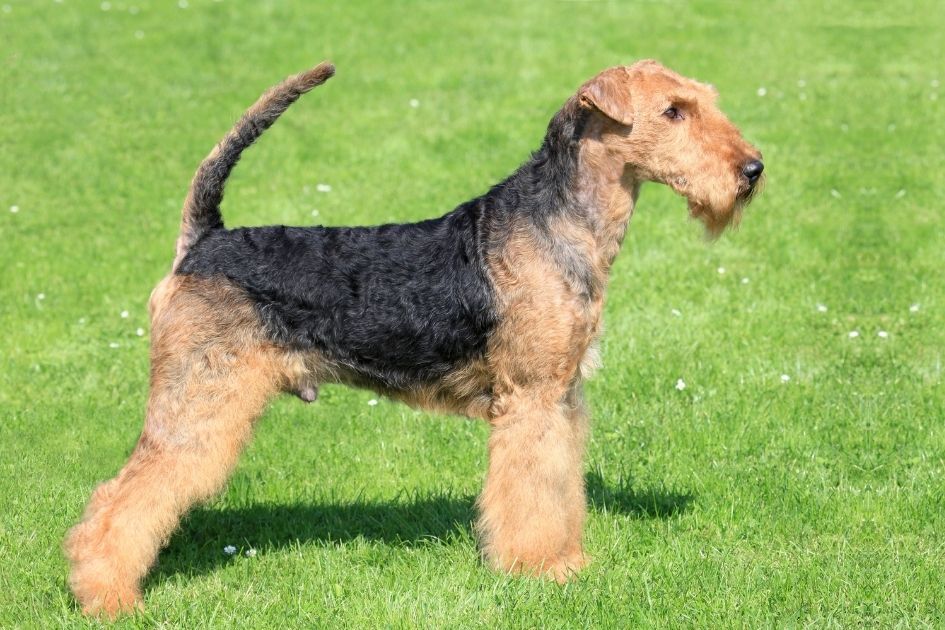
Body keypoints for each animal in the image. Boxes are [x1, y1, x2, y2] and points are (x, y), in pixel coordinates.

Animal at [64, 58, 760, 616]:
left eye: (702, 101)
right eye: (674, 111)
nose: (751, 169)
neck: (561, 223)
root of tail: (201, 243)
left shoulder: (560, 397)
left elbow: (561, 487)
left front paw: (569, 562)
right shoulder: (530, 398)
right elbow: (532, 491)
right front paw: (538, 571)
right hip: (199, 401)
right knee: (120, 499)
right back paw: (108, 598)